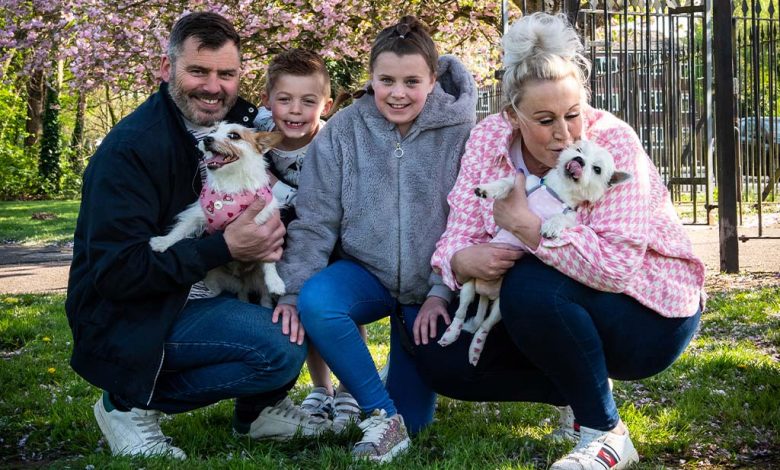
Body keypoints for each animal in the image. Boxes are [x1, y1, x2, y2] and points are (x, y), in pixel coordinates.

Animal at [149, 122, 286, 304]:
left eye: (234, 136)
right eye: (213, 131)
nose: (207, 139)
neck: (230, 182)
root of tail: (243, 280)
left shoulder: (266, 228)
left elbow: (268, 259)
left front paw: (275, 281)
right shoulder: (197, 214)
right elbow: (180, 230)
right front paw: (163, 242)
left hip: (258, 280)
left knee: (264, 297)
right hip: (217, 277)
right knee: (234, 291)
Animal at [438, 138, 632, 366]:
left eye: (597, 169)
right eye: (579, 149)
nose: (579, 161)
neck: (559, 191)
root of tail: (487, 294)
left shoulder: (571, 218)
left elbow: (562, 219)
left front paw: (551, 226)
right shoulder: (524, 184)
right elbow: (506, 183)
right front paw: (487, 189)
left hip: (500, 308)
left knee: (484, 326)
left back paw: (475, 349)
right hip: (469, 283)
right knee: (461, 312)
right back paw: (451, 334)